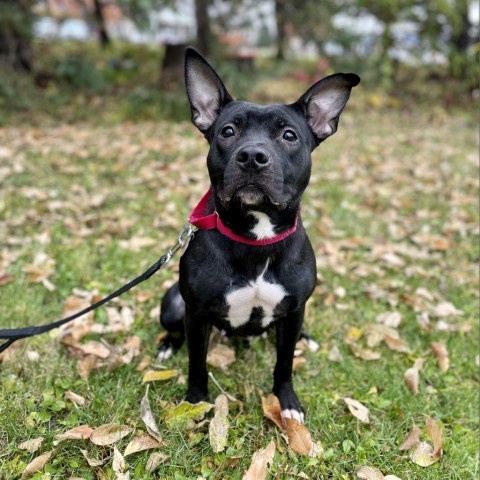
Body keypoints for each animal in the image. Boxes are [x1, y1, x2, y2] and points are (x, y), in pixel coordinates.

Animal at [158, 47, 360, 424]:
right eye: (227, 131)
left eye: (289, 136)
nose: (252, 155)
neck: (256, 238)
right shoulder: (196, 314)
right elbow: (197, 363)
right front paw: (195, 402)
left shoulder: (294, 311)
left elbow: (285, 363)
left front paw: (287, 402)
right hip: (173, 303)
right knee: (174, 328)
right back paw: (166, 345)